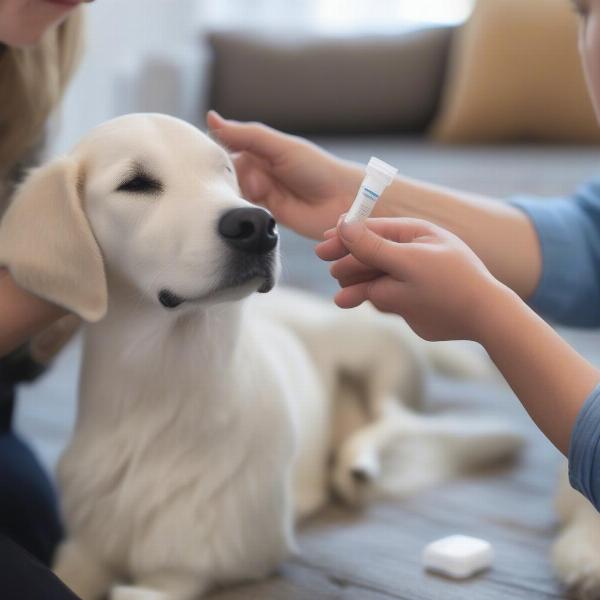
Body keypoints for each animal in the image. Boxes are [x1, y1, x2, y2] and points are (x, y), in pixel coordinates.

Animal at [0, 113, 524, 600]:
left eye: (225, 171)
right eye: (136, 184)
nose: (255, 223)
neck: (166, 384)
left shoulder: (191, 565)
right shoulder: (83, 549)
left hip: (376, 356)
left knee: (395, 421)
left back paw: (357, 464)